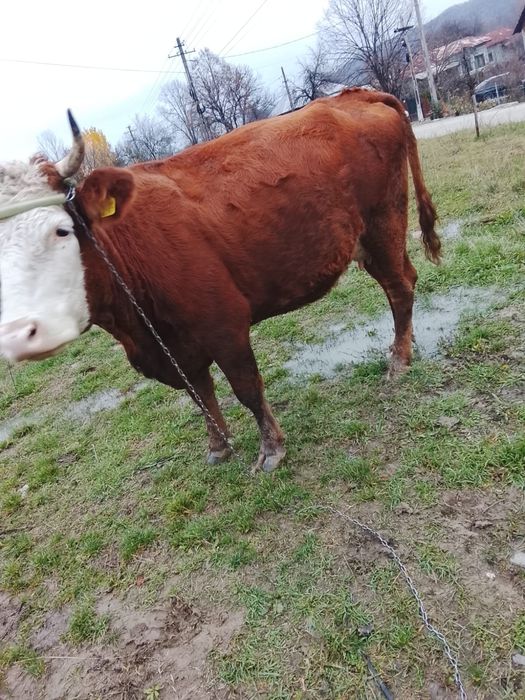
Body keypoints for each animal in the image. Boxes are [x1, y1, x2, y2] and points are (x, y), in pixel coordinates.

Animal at [0, 88, 440, 472]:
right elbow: (200, 394)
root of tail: (354, 95)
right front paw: (218, 446)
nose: (19, 335)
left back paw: (399, 361)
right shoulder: (174, 346)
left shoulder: (225, 325)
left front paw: (271, 450)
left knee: (399, 288)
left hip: (383, 224)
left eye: (62, 231)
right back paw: (403, 346)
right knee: (404, 281)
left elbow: (246, 388)